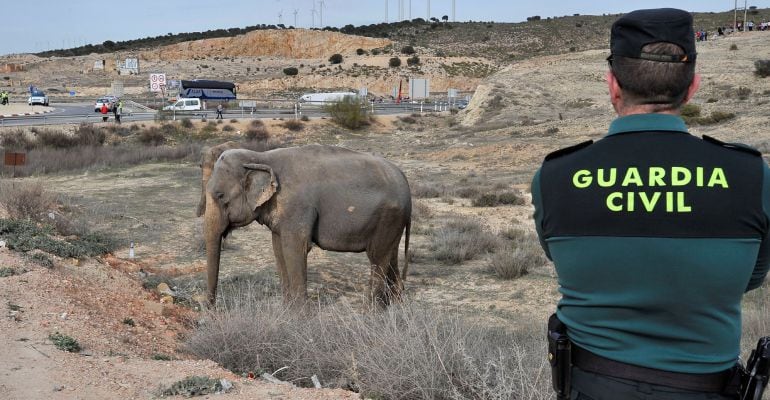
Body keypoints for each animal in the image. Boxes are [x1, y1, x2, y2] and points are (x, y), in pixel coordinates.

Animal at [201, 144, 412, 306]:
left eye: (220, 196)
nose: (211, 310)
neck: (261, 156)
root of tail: (404, 180)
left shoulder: (297, 207)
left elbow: (296, 249)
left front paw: (300, 315)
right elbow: (279, 249)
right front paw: (287, 311)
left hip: (388, 216)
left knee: (377, 258)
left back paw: (372, 312)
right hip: (393, 222)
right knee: (390, 255)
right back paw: (395, 308)